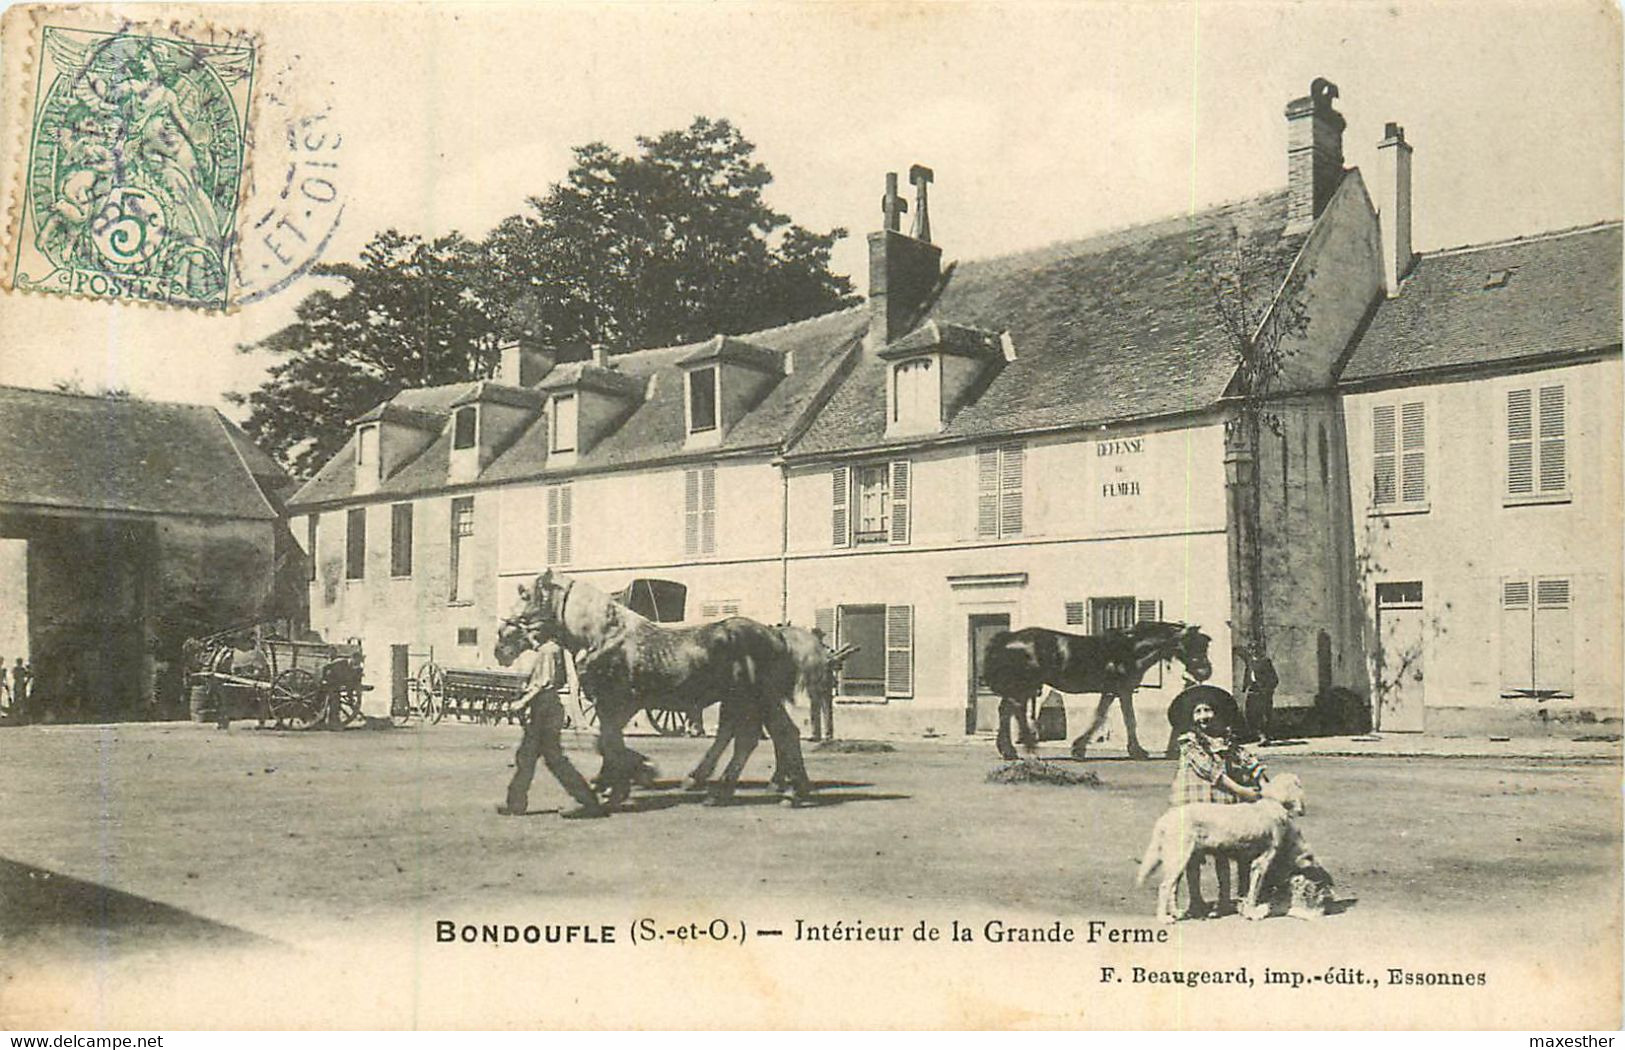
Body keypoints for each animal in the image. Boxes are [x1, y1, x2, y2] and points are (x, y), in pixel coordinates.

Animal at [507, 575, 812, 806]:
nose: (503, 638)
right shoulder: (613, 708)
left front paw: (630, 778)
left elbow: (608, 742)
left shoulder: (615, 704)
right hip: (751, 701)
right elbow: (607, 742)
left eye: (526, 595)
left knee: (764, 736)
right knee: (766, 736)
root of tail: (776, 634)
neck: (603, 635)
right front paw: (617, 779)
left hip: (752, 699)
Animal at [981, 624, 1215, 763]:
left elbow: (1107, 717)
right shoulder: (1120, 690)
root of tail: (1007, 638)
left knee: (1006, 710)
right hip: (1025, 684)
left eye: (1205, 644)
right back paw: (1027, 746)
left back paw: (1008, 750)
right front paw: (1137, 751)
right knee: (1016, 711)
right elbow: (1120, 719)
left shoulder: (1114, 691)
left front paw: (1080, 748)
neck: (1129, 650)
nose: (1206, 671)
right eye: (1193, 644)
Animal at [1137, 773, 1313, 923]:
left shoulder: (1248, 862)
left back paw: (1176, 912)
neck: (1272, 803)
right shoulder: (1261, 862)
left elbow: (1248, 890)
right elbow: (1254, 891)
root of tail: (1166, 817)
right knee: (1165, 887)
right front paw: (1253, 913)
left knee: (1172, 887)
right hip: (1179, 858)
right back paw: (1164, 918)